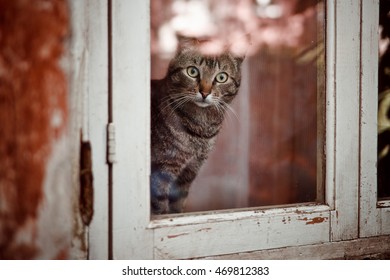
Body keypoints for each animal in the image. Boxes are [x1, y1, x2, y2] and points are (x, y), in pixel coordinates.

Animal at [150, 39, 244, 214]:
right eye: (192, 72)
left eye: (221, 77)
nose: (205, 92)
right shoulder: (160, 173)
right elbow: (161, 211)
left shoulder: (188, 174)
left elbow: (177, 208)